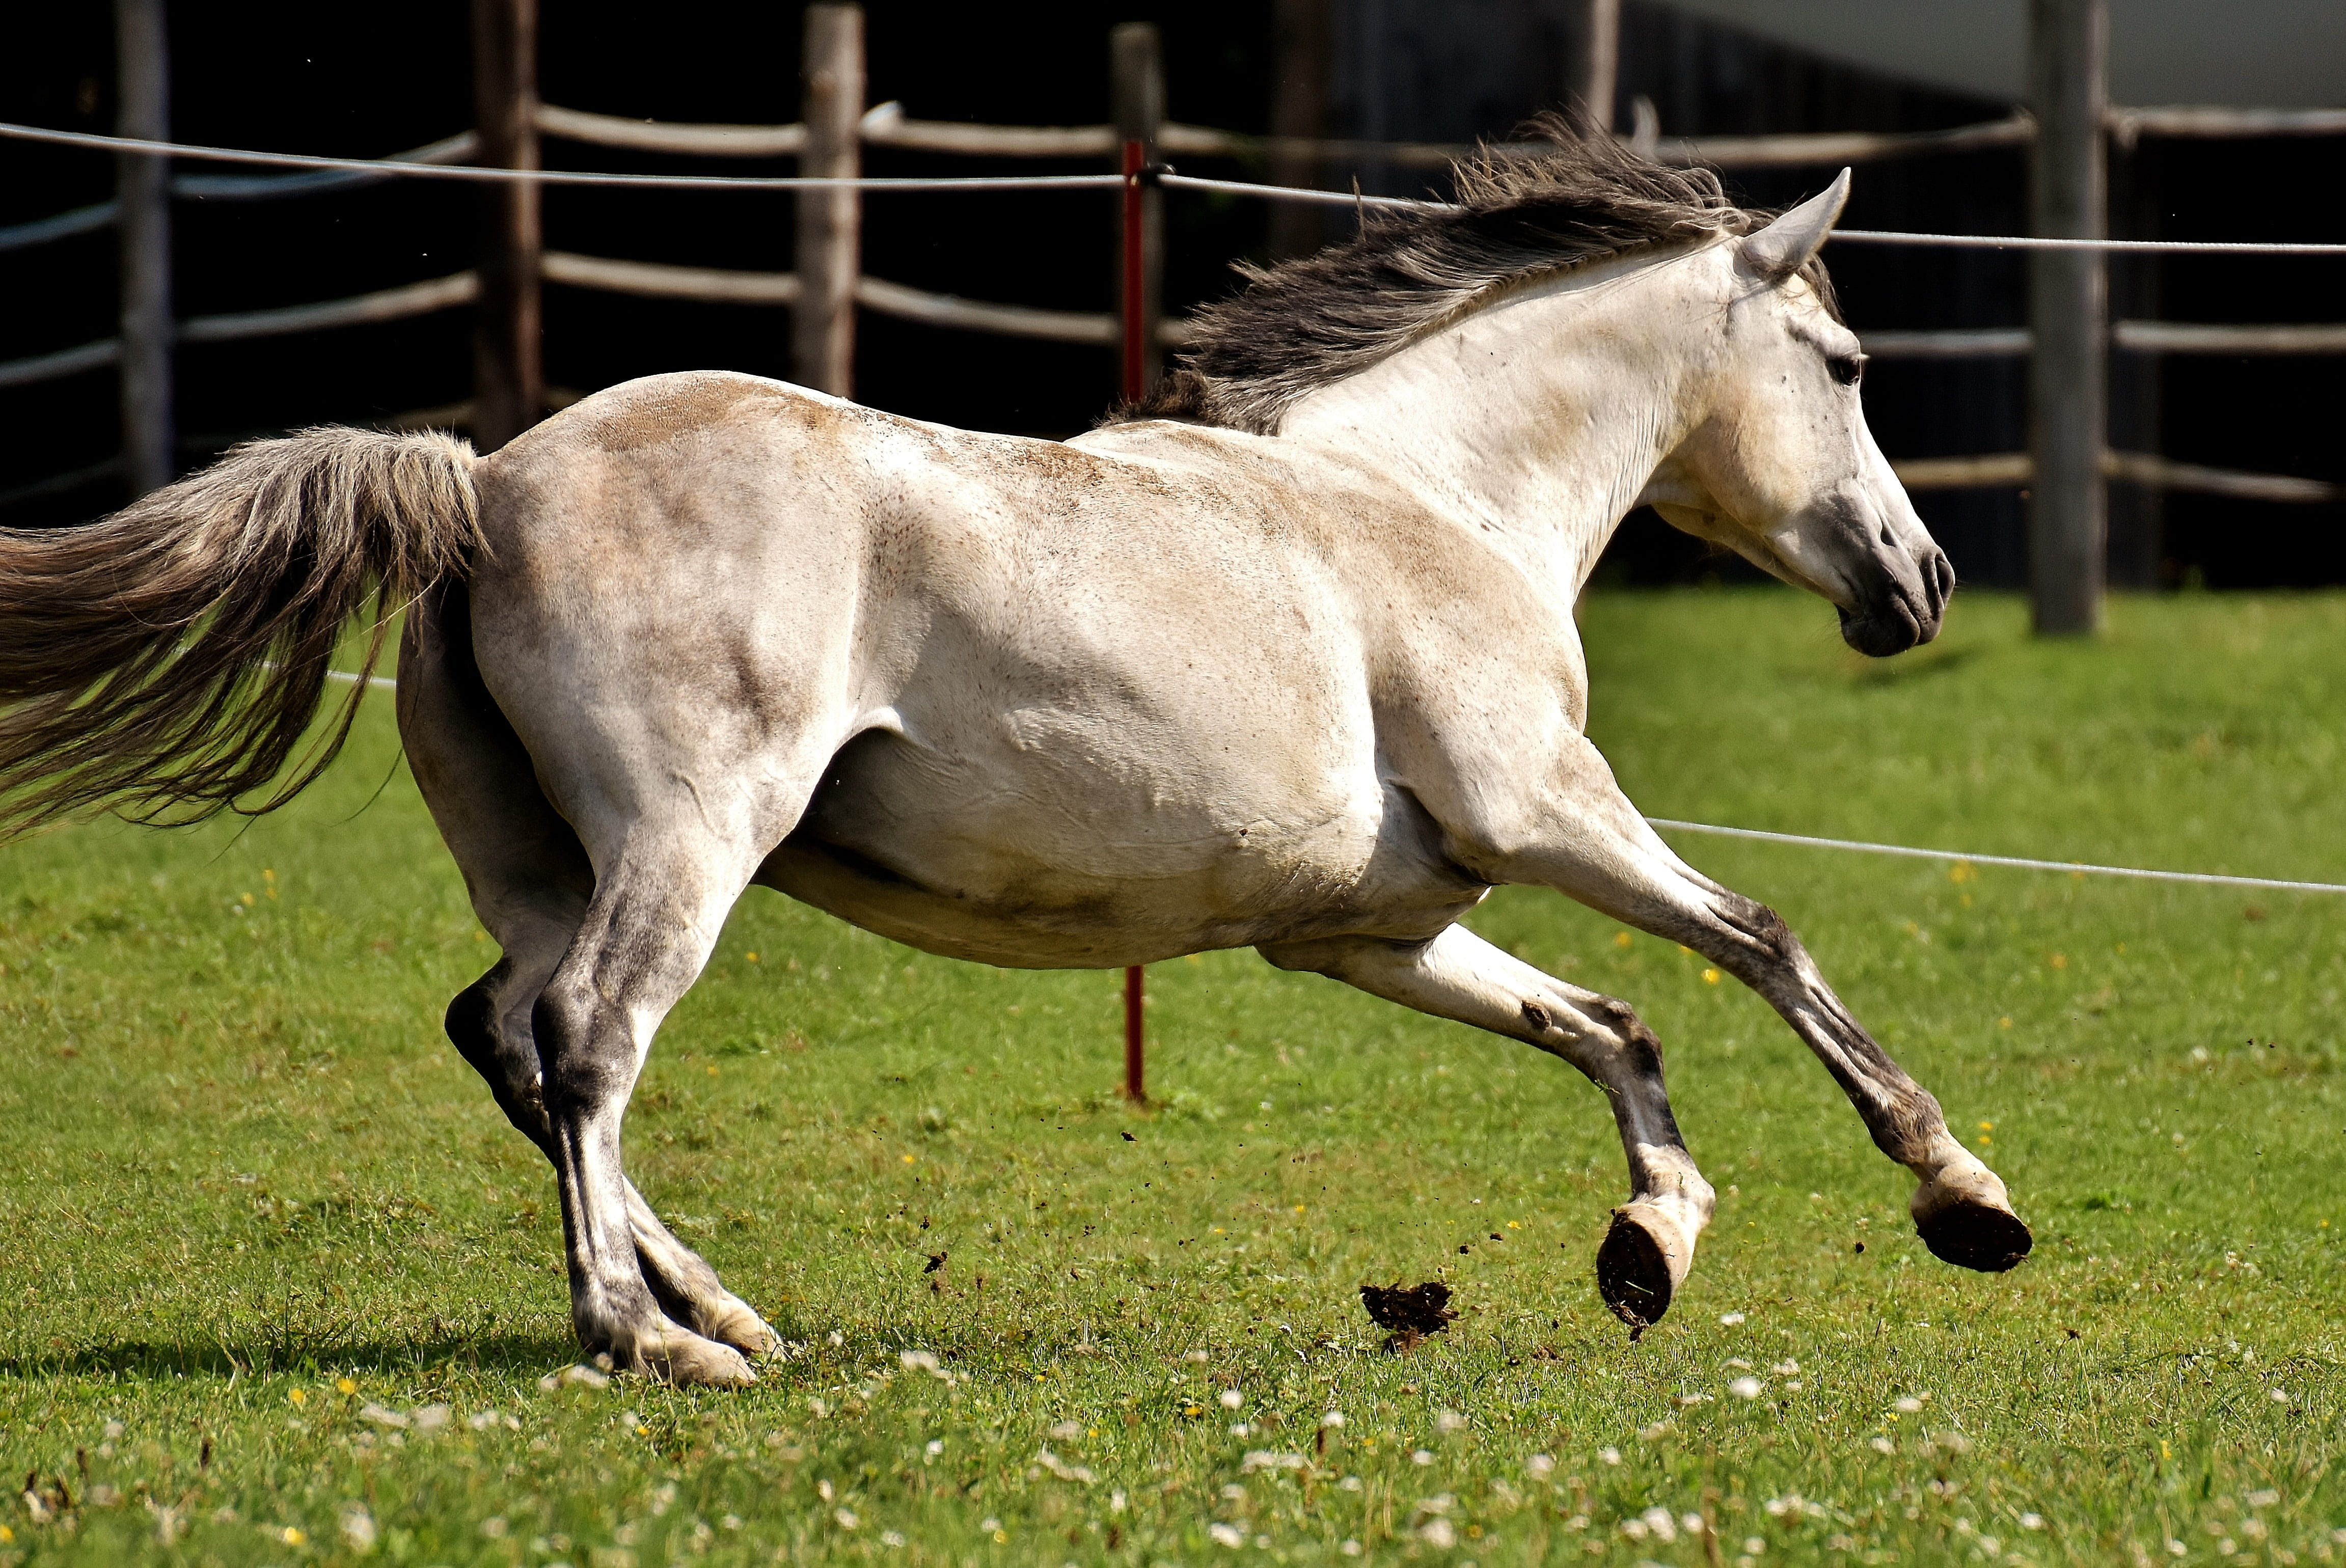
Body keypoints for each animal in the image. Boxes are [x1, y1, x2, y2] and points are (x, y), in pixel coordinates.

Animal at [0, 135, 2026, 1387]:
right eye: (1844, 361)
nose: (1918, 581)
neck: (1423, 507)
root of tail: (483, 482)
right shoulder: (1547, 811)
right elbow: (1756, 939)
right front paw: (1958, 1196)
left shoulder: (1365, 928)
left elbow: (1609, 1022)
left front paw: (1646, 1245)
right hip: (689, 838)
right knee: (585, 1037)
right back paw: (647, 1337)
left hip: (536, 861)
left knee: (504, 1035)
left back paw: (727, 1307)